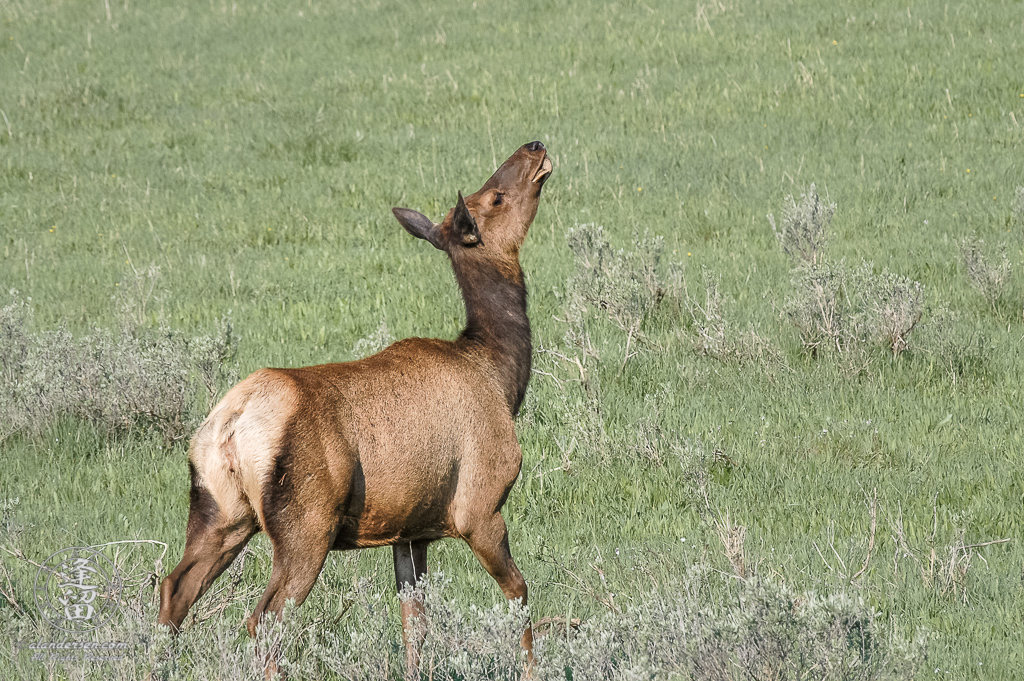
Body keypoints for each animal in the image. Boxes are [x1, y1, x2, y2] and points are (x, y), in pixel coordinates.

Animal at [156, 140, 552, 671]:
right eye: (495, 198)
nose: (535, 147)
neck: (501, 375)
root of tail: (232, 424)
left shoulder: (410, 530)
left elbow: (414, 627)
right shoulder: (480, 507)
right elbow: (520, 597)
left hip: (219, 511)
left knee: (174, 590)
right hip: (305, 525)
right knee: (264, 618)